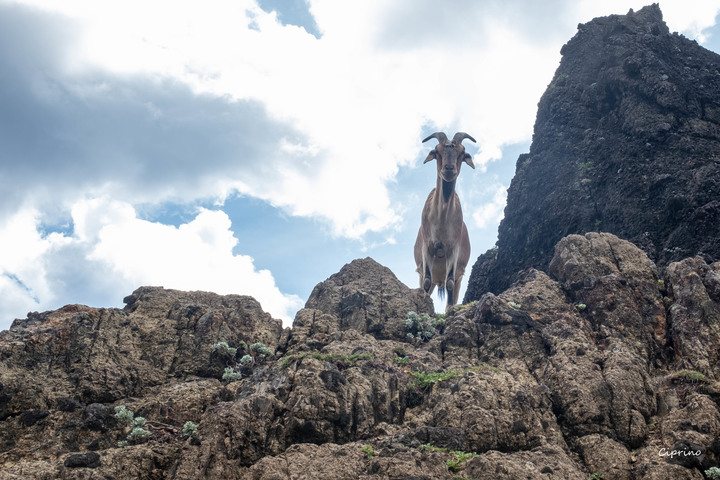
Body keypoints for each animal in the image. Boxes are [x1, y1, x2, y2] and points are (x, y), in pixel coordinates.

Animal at [414, 131, 476, 310]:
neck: (440, 222)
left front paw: (449, 310)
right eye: (437, 151)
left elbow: (449, 283)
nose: (449, 170)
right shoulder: (427, 248)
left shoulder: (453, 250)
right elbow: (426, 282)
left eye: (462, 152)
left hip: (459, 276)